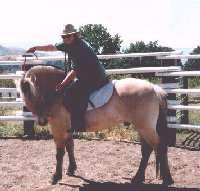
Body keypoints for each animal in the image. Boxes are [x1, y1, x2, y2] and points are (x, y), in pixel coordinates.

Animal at [19, 65, 174, 185]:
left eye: (32, 93)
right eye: (24, 96)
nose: (42, 121)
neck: (58, 92)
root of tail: (155, 88)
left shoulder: (58, 129)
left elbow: (60, 152)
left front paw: (55, 177)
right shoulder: (67, 130)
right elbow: (70, 147)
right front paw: (71, 169)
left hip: (146, 128)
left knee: (159, 146)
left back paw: (167, 179)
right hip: (141, 128)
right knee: (147, 150)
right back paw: (138, 178)